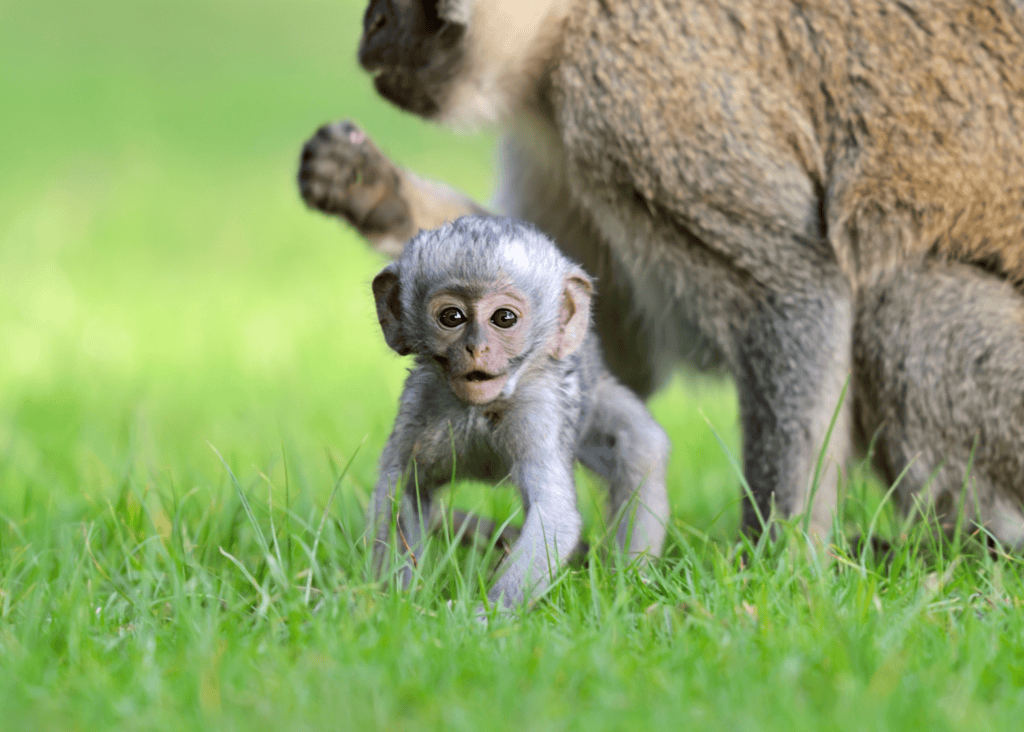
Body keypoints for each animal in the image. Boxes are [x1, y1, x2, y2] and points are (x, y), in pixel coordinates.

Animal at [299, 1, 1024, 546]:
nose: (372, 22)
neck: (573, 20)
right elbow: (599, 331)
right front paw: (375, 189)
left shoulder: (633, 93)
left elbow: (793, 286)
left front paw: (780, 558)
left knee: (898, 306)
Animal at [367, 215, 670, 611]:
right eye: (452, 317)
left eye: (504, 318)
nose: (476, 348)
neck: (479, 410)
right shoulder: (420, 402)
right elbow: (402, 488)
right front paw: (392, 604)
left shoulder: (537, 408)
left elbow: (554, 517)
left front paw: (482, 615)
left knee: (640, 444)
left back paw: (630, 580)